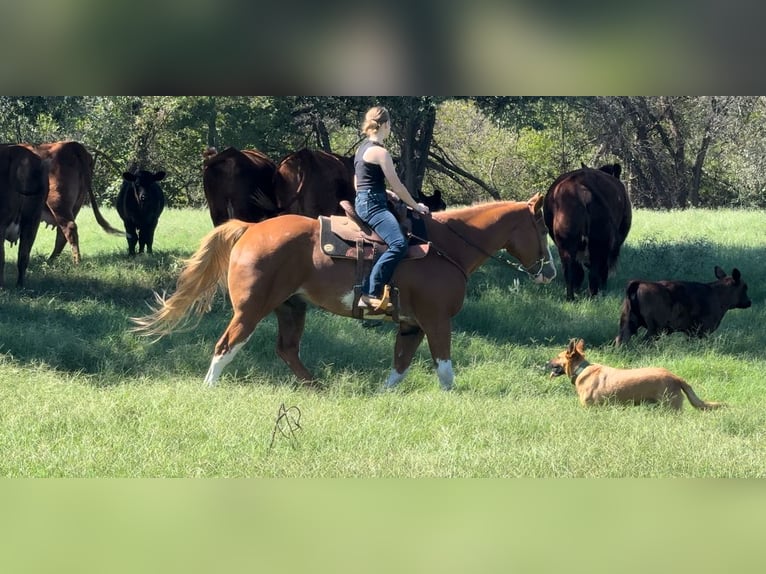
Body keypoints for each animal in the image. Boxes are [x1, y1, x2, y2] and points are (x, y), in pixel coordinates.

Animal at [135, 196, 556, 394]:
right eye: (541, 227)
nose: (550, 272)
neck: (445, 246)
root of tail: (251, 228)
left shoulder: (411, 325)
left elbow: (399, 367)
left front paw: (383, 395)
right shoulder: (436, 321)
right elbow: (445, 368)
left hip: (291, 308)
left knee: (287, 350)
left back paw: (317, 387)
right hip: (251, 309)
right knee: (226, 345)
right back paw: (210, 387)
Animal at [616, 266, 752, 346]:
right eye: (745, 287)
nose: (749, 302)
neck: (717, 293)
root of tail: (640, 283)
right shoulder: (701, 331)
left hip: (628, 323)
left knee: (620, 340)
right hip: (654, 329)